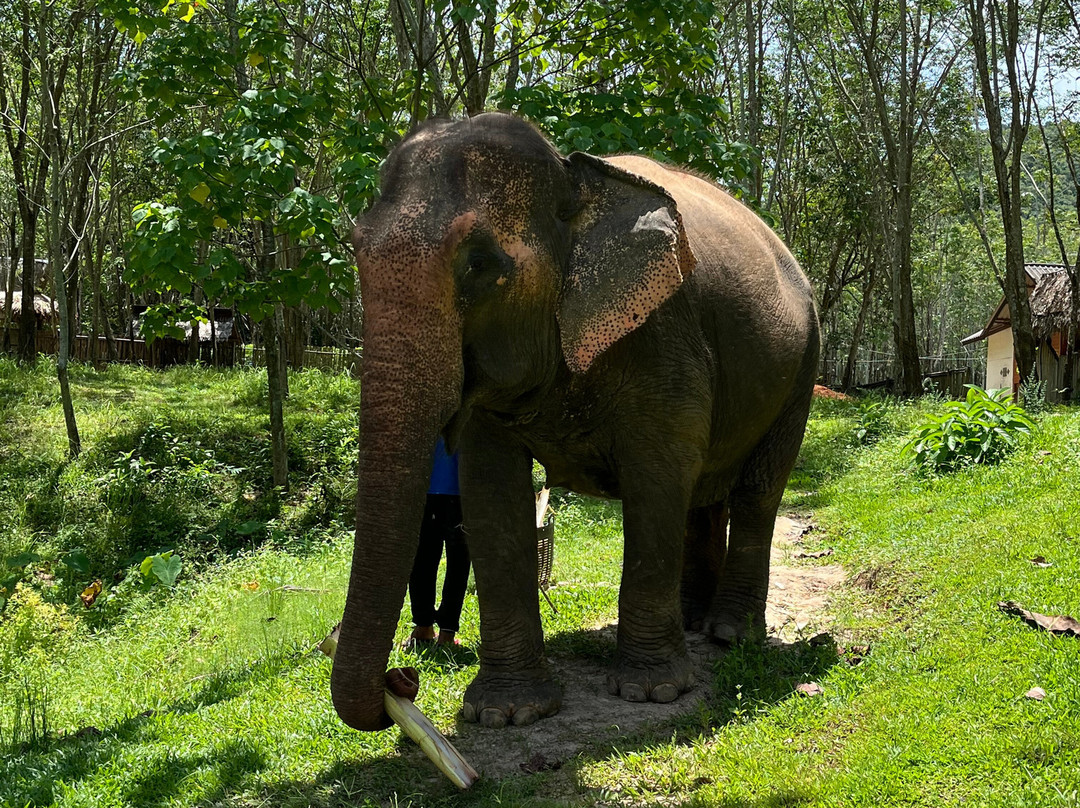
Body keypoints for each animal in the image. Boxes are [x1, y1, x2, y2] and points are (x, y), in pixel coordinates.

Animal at [330, 111, 819, 732]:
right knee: (703, 493)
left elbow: (658, 476)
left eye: (479, 262)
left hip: (802, 365)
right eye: (355, 250)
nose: (403, 679)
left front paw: (651, 692)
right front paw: (507, 712)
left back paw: (730, 635)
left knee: (756, 490)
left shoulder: (661, 334)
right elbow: (491, 492)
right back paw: (692, 621)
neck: (573, 175)